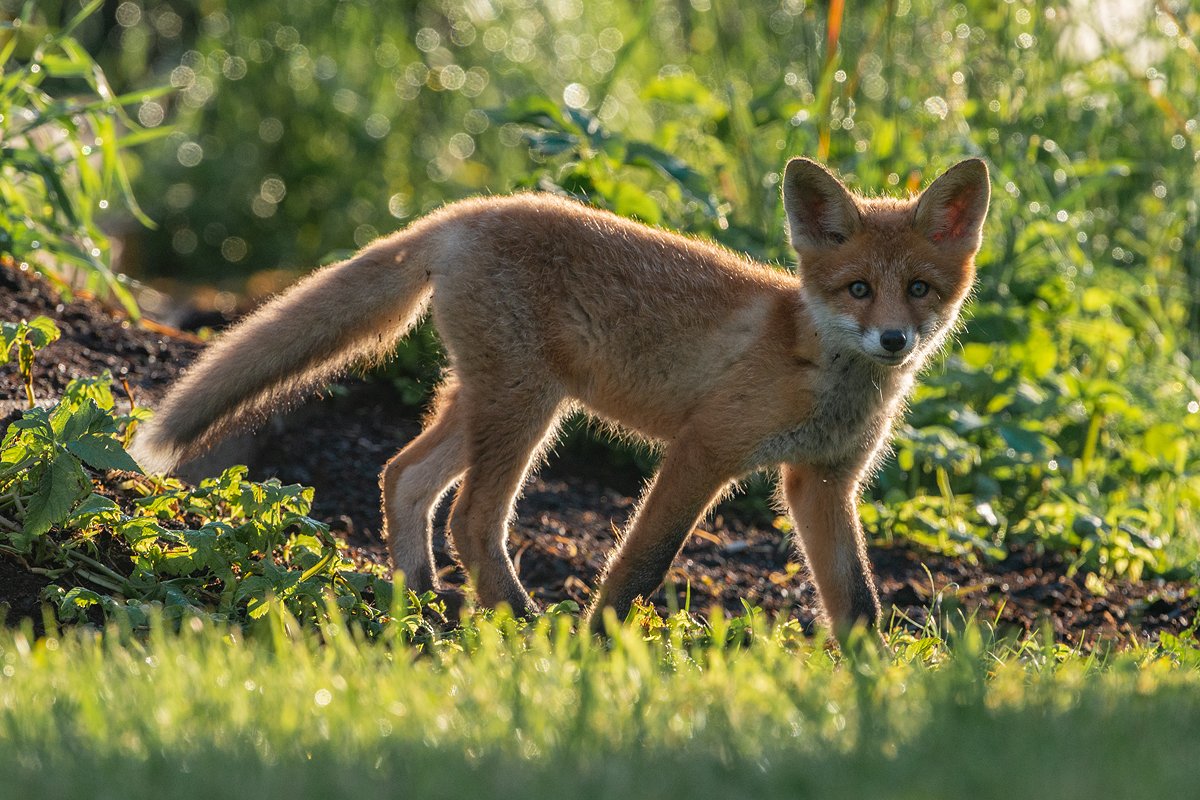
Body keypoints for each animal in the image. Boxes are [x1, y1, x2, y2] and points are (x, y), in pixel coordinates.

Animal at [132, 156, 990, 634]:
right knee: (471, 518)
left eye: (919, 289)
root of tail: (466, 211)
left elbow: (858, 601)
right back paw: (519, 623)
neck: (817, 365)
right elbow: (641, 563)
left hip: (489, 401)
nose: (894, 341)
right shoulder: (705, 449)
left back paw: (418, 605)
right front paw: (596, 646)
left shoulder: (821, 482)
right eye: (857, 290)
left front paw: (872, 688)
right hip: (526, 408)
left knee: (402, 478)